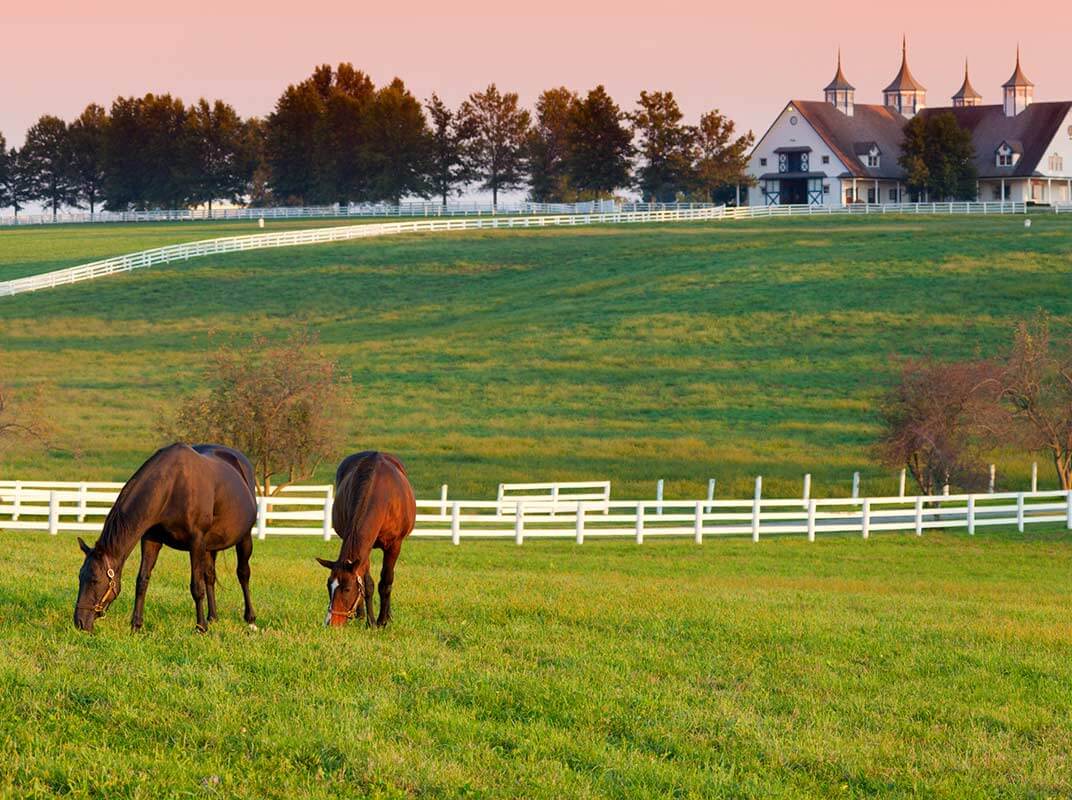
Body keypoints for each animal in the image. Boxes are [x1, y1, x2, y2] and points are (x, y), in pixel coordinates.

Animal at [74, 439, 258, 630]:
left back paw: (250, 619)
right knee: (210, 576)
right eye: (80, 577)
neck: (172, 487)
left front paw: (200, 627)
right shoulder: (151, 540)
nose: (79, 622)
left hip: (244, 538)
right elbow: (142, 580)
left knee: (243, 574)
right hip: (210, 546)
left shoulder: (196, 542)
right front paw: (136, 625)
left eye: (95, 580)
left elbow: (196, 587)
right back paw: (212, 617)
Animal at [315, 452, 415, 626]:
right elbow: (367, 583)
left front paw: (381, 621)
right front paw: (370, 622)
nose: (330, 623)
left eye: (347, 589)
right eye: (328, 586)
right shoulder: (366, 548)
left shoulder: (394, 545)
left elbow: (386, 582)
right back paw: (360, 615)